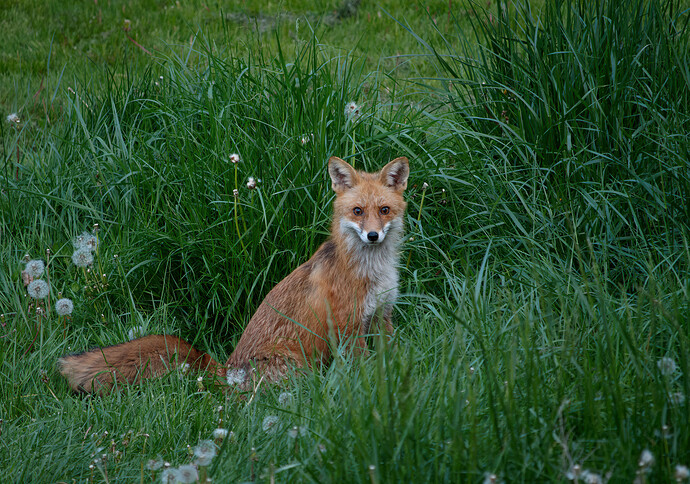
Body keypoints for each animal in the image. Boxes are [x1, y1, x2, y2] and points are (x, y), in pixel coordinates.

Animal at [59, 158, 408, 394]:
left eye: (384, 210)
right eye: (358, 211)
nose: (373, 236)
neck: (372, 271)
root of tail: (226, 371)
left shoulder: (382, 314)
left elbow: (392, 356)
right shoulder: (348, 326)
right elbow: (363, 369)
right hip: (295, 366)